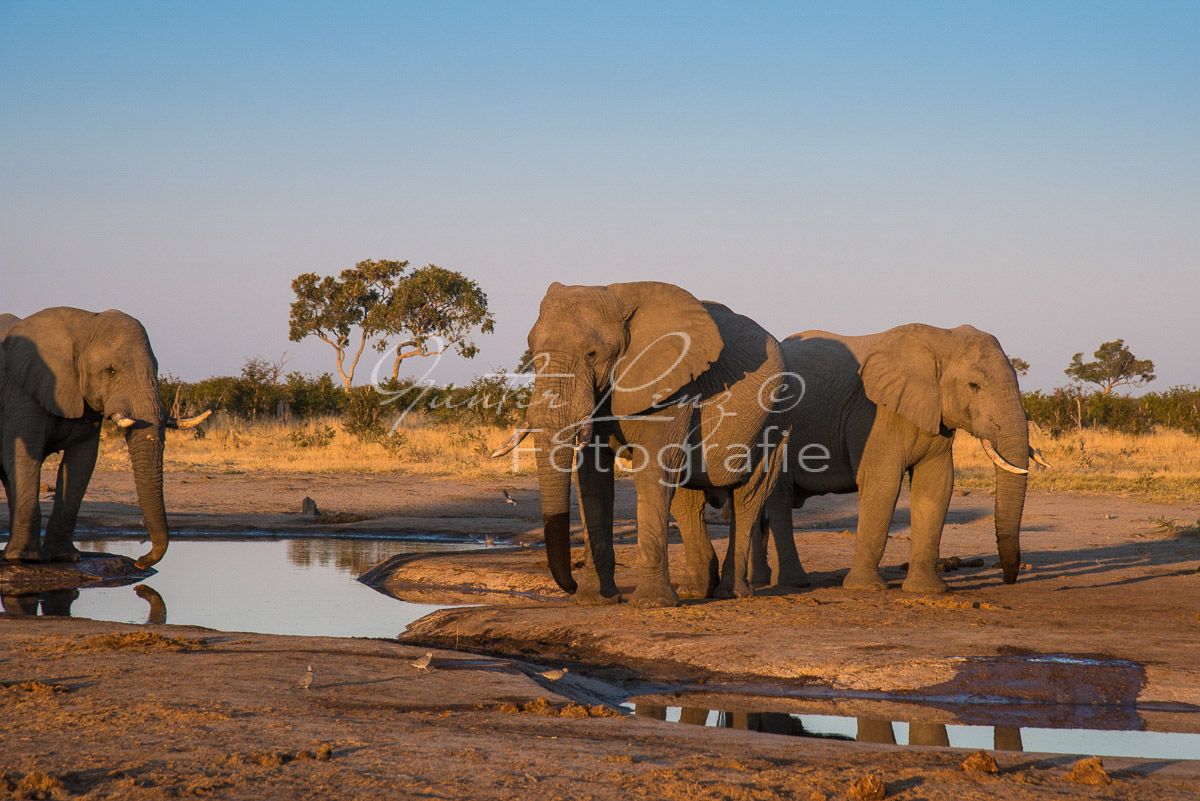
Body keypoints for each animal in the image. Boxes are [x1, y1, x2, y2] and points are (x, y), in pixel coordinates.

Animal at [0, 309, 206, 568]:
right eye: (111, 371)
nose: (140, 561)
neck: (83, 324)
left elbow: (81, 463)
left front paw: (63, 557)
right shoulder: (21, 392)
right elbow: (23, 456)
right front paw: (23, 558)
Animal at [499, 281, 796, 606]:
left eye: (592, 354)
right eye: (533, 353)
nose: (571, 586)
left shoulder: (673, 385)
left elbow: (653, 469)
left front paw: (651, 604)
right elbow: (593, 481)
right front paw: (594, 600)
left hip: (776, 419)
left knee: (748, 497)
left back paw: (730, 593)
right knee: (687, 500)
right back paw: (694, 591)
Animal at [758, 326, 1051, 594]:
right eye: (974, 385)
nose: (1009, 579)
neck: (941, 339)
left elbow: (936, 485)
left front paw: (927, 591)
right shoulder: (874, 414)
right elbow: (883, 484)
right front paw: (866, 588)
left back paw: (763, 580)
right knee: (780, 499)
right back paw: (795, 583)